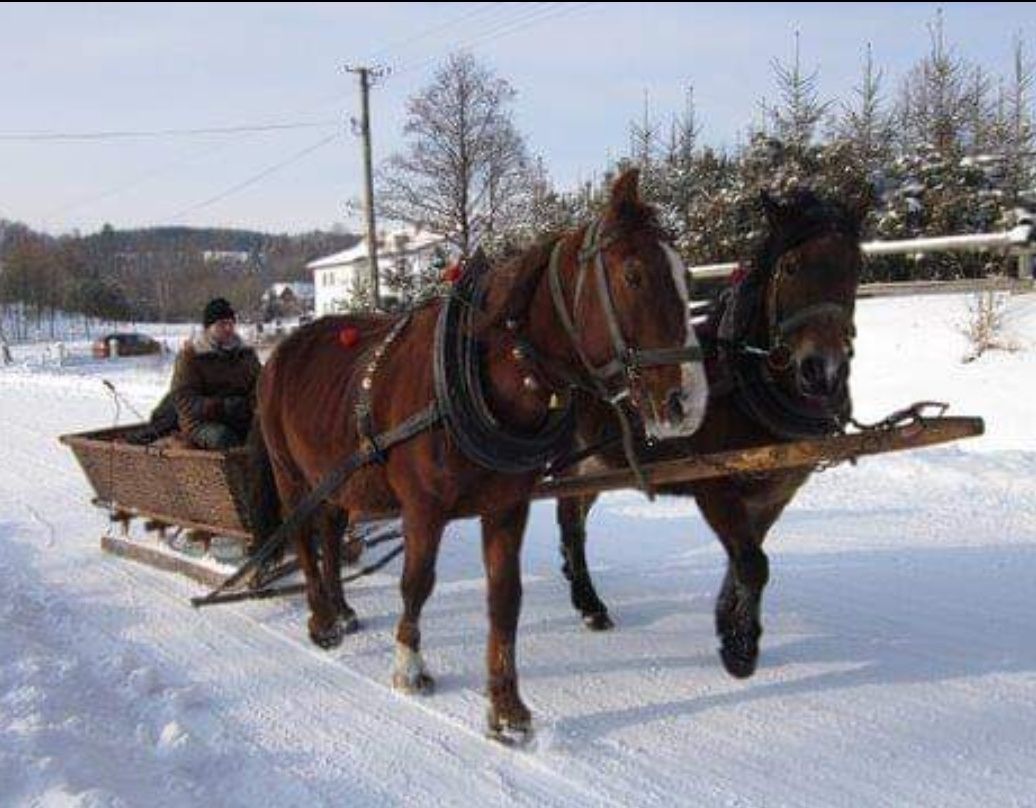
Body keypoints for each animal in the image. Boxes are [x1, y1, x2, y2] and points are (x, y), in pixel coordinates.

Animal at [247, 170, 708, 737]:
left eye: (685, 275)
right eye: (634, 274)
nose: (688, 401)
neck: (489, 374)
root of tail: (280, 351)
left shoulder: (507, 506)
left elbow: (505, 597)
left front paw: (506, 705)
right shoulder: (423, 509)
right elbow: (416, 584)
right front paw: (409, 668)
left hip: (336, 475)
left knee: (331, 532)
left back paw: (342, 608)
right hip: (291, 475)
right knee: (304, 536)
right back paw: (321, 619)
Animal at [559, 187, 866, 675]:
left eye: (856, 267)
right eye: (790, 267)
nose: (823, 372)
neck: (743, 381)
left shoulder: (776, 492)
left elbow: (744, 559)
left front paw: (731, 626)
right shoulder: (713, 486)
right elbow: (752, 563)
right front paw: (740, 651)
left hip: (595, 462)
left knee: (573, 520)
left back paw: (586, 599)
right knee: (569, 525)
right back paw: (589, 602)